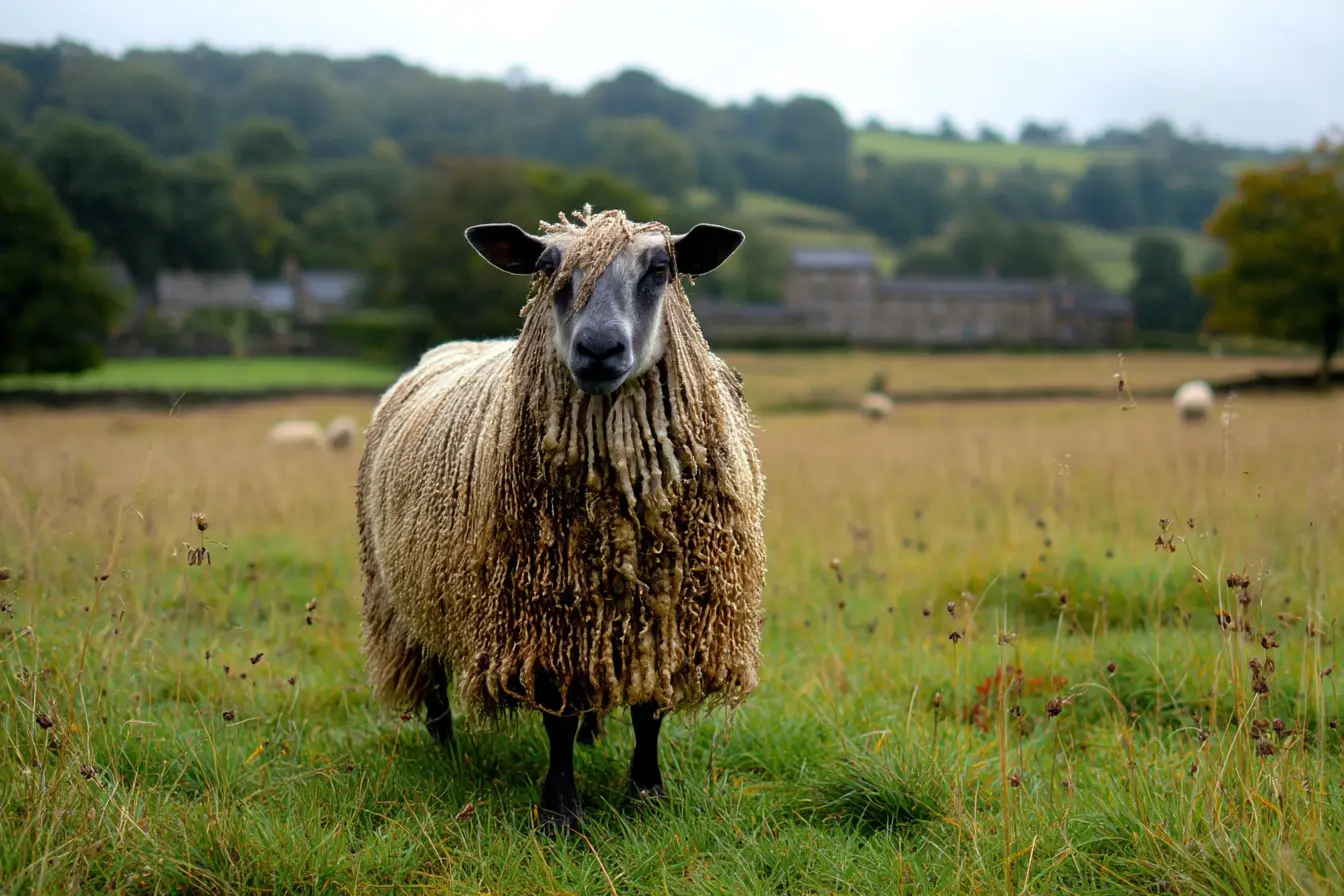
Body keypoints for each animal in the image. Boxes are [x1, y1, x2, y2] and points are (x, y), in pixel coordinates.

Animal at [356, 206, 767, 834]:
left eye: (662, 268)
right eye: (548, 267)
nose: (598, 348)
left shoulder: (668, 611)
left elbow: (649, 712)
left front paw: (646, 794)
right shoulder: (545, 613)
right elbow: (559, 718)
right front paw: (560, 812)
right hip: (400, 596)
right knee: (433, 683)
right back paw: (447, 751)